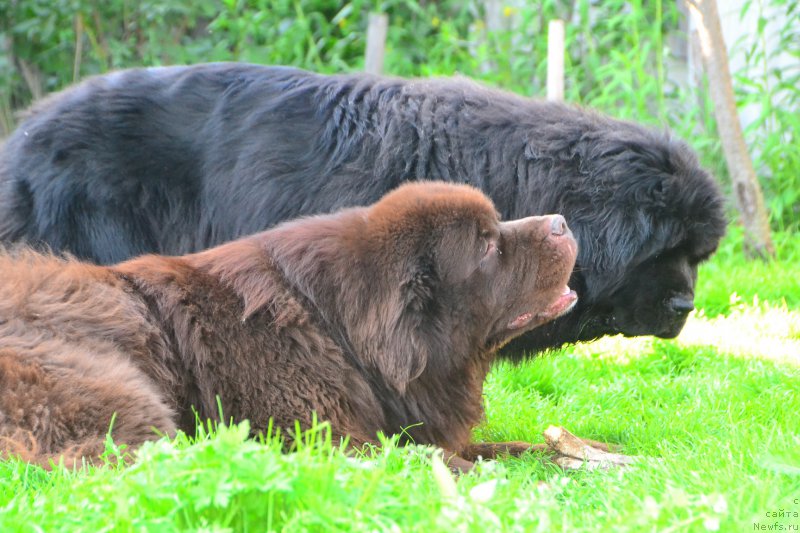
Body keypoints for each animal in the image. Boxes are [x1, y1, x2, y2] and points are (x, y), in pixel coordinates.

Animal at [0, 183, 576, 470]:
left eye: (495, 227)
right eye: (487, 246)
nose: (561, 222)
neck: (338, 332)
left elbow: (510, 448)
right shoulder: (326, 438)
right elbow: (431, 460)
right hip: (122, 393)